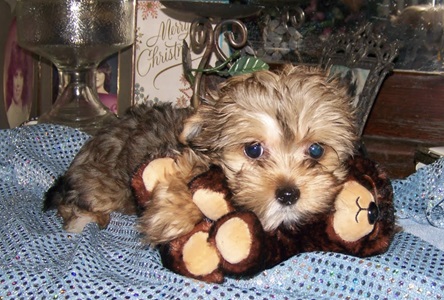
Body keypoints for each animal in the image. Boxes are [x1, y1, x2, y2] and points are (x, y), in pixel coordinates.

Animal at [45, 65, 358, 244]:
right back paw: (89, 219)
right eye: (253, 149)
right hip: (100, 187)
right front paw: (172, 216)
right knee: (73, 207)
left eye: (316, 150)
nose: (289, 193)